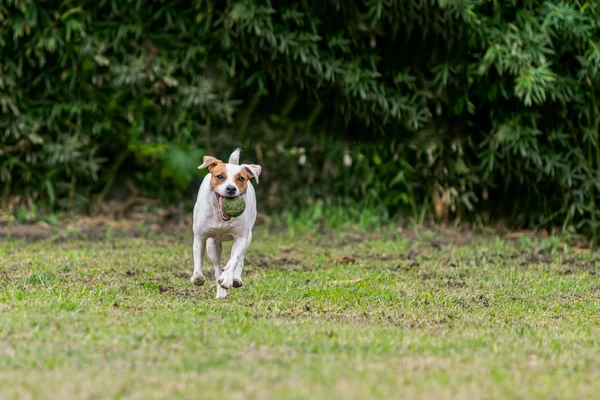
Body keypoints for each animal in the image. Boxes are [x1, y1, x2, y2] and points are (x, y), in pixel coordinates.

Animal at [190, 148, 260, 298]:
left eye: (241, 178)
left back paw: (235, 278)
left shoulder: (241, 237)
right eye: (220, 176)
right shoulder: (200, 237)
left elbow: (234, 258)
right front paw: (198, 279)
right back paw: (221, 291)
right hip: (212, 244)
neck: (221, 218)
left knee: (240, 258)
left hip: (248, 237)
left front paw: (228, 277)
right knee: (217, 266)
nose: (231, 189)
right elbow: (198, 265)